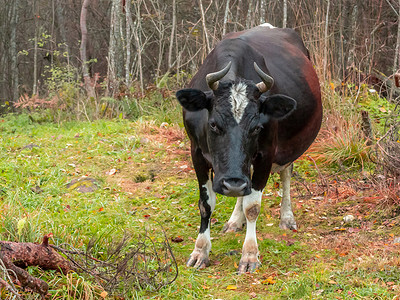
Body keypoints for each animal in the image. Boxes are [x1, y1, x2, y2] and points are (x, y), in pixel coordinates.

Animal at [175, 23, 322, 274]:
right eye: (213, 124)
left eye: (256, 127)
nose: (233, 183)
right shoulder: (196, 152)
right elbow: (206, 204)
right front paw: (200, 250)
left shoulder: (266, 154)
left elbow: (252, 206)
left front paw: (250, 254)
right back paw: (235, 220)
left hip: (286, 149)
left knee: (285, 175)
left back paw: (286, 217)